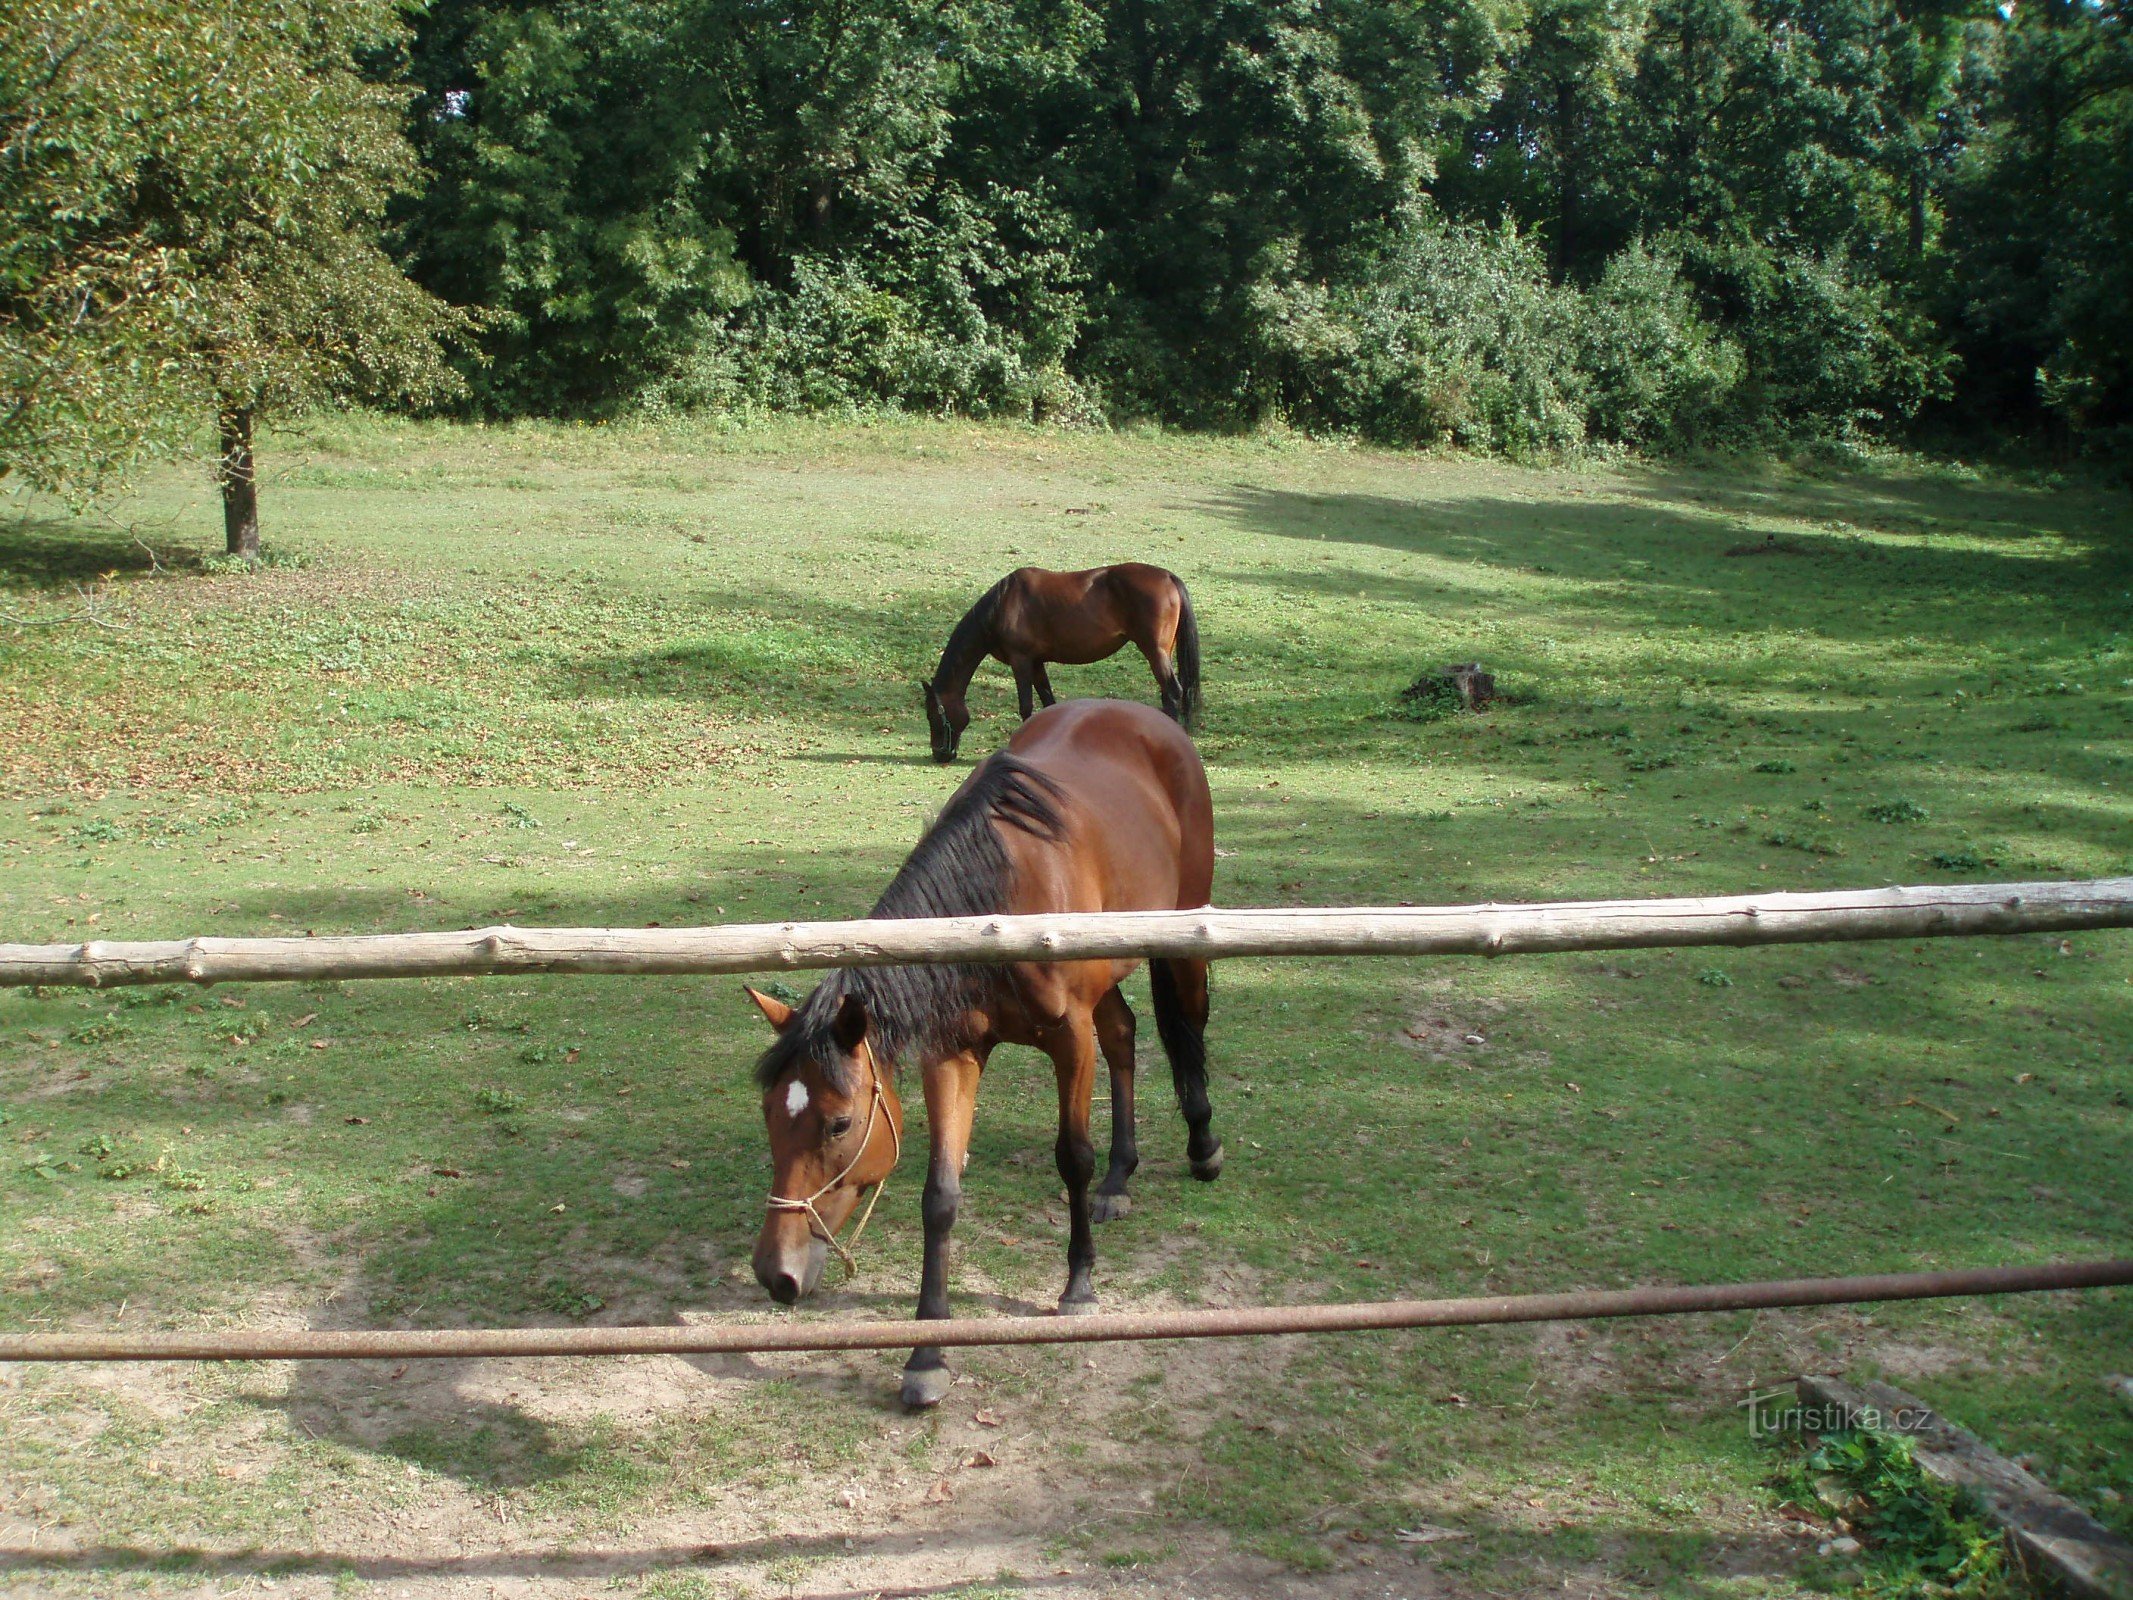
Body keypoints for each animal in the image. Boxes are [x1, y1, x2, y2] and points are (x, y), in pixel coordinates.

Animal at [746, 699, 1220, 1399]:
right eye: (770, 1116)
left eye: (839, 1124)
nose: (774, 1273)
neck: (997, 903)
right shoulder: (953, 1053)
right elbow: (940, 1196)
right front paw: (927, 1354)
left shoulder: (1068, 1040)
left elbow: (1072, 1157)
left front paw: (1079, 1285)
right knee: (1124, 1036)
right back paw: (1119, 1177)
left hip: (1183, 936)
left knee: (1189, 1023)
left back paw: (1203, 1146)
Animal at [925, 563, 1203, 763]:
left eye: (932, 714)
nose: (940, 754)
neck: (1004, 605)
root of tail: (1168, 577)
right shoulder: (1036, 663)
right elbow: (1048, 703)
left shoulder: (1021, 661)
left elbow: (1026, 706)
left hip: (1155, 652)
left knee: (1172, 692)